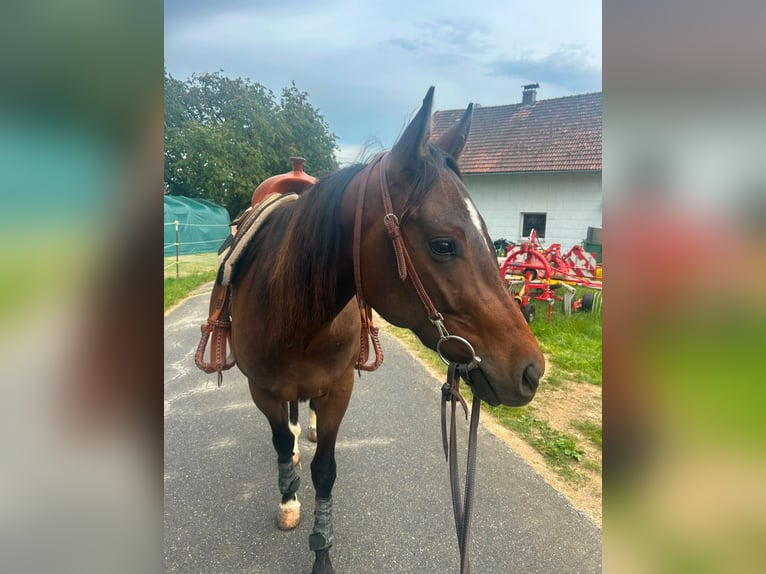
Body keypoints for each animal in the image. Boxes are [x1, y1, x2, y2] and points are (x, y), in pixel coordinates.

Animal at [228, 87, 545, 574]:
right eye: (443, 244)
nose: (532, 370)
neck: (292, 316)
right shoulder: (261, 389)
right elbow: (281, 444)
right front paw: (289, 500)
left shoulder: (338, 388)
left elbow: (325, 471)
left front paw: (322, 551)